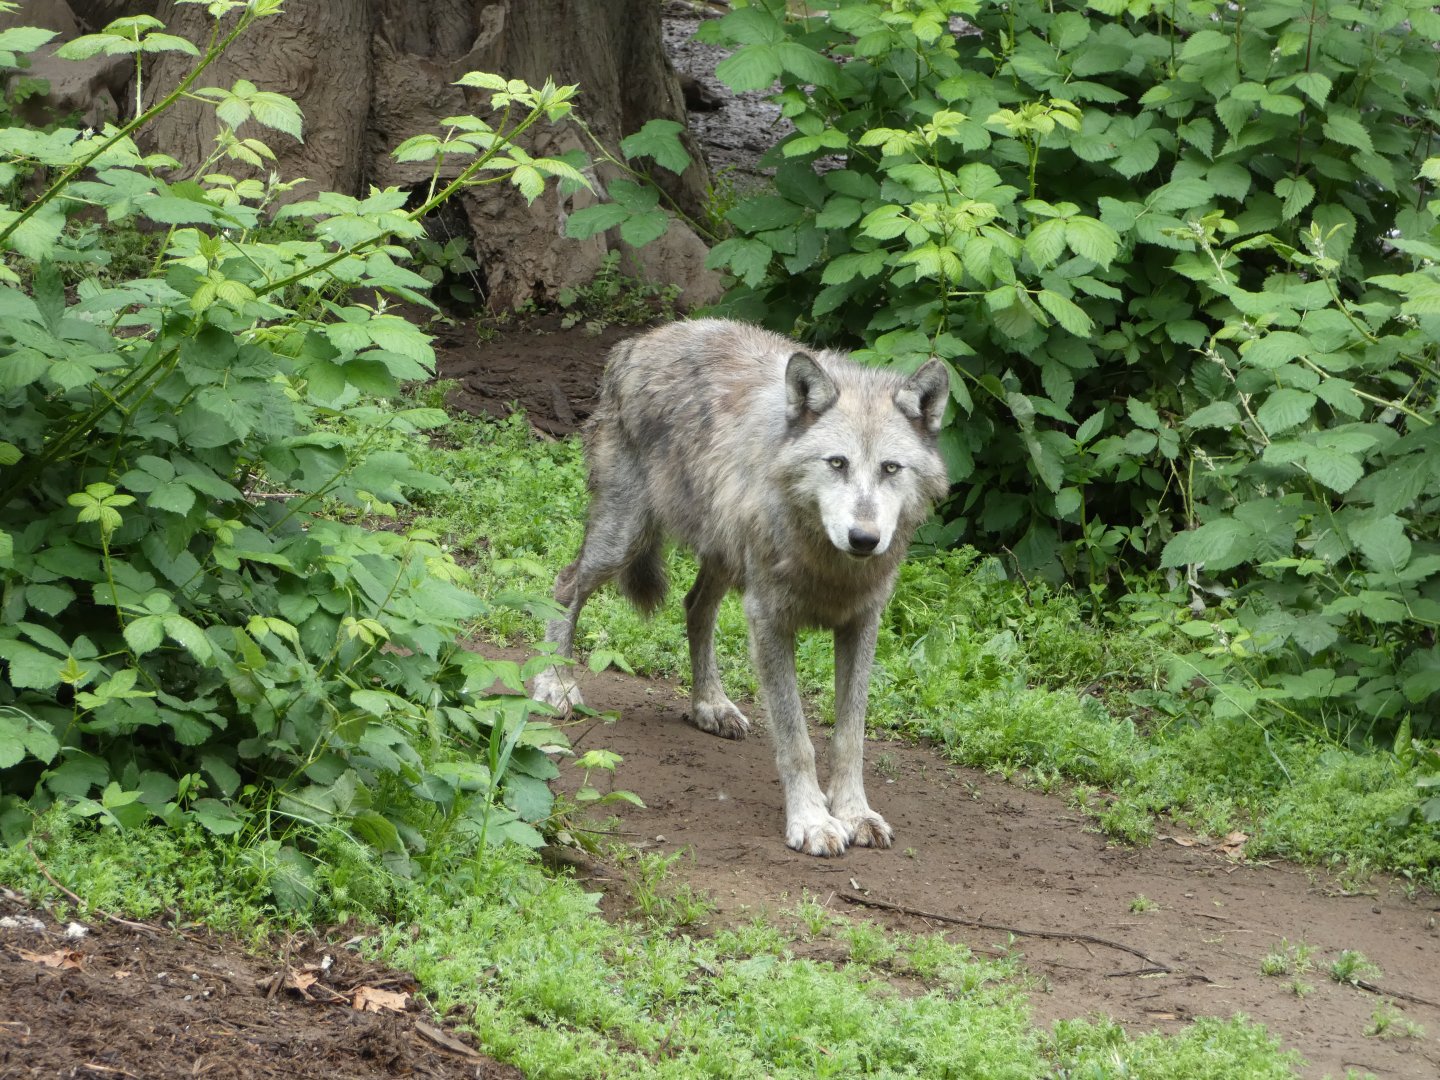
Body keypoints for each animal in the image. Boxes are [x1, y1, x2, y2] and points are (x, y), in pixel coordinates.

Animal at [530, 318, 950, 856]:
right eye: (836, 463)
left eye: (891, 468)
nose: (864, 538)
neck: (830, 565)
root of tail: (639, 341)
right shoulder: (768, 620)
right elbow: (796, 740)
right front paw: (813, 821)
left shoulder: (862, 623)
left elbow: (849, 737)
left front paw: (855, 814)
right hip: (623, 541)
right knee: (565, 585)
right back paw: (555, 685)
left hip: (723, 557)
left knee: (694, 607)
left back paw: (710, 706)